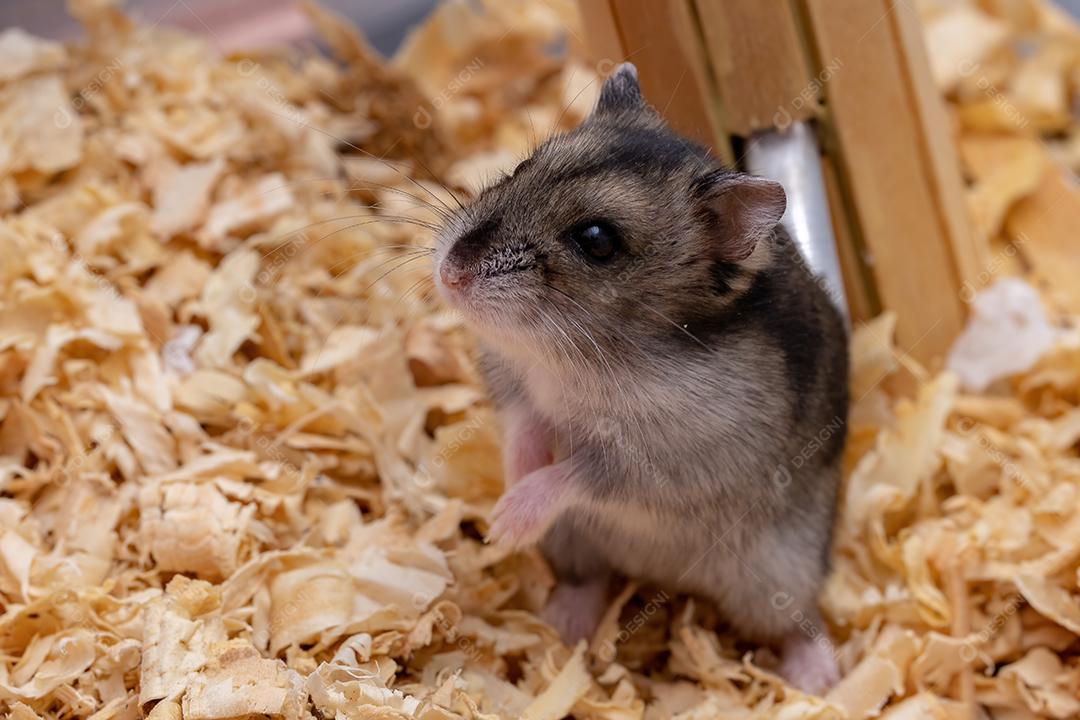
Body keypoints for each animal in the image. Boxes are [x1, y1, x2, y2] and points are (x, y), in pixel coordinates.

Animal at [432, 63, 849, 694]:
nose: (450, 273)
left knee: (797, 621)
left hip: (780, 572)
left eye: (597, 240)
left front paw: (505, 523)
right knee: (590, 577)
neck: (570, 354)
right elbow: (525, 429)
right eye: (522, 167)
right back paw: (562, 625)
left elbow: (578, 472)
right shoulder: (514, 387)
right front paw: (506, 492)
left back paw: (816, 681)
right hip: (574, 540)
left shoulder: (657, 463)